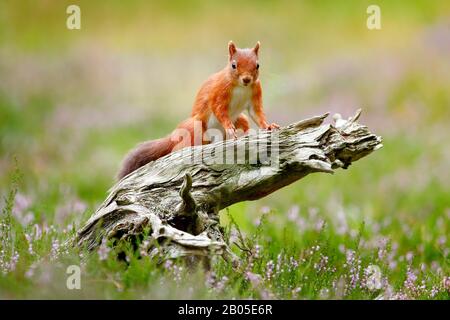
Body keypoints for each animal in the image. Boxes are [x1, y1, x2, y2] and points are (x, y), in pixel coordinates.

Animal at [117, 41, 278, 179]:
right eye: (233, 65)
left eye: (257, 65)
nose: (246, 79)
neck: (241, 87)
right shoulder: (218, 93)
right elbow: (219, 110)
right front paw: (229, 127)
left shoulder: (255, 93)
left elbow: (257, 114)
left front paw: (268, 125)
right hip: (196, 129)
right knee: (178, 149)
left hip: (238, 119)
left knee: (244, 122)